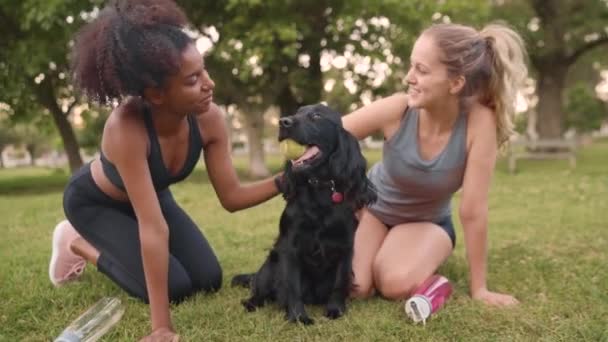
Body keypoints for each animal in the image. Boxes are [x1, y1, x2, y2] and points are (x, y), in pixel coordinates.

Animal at [232, 103, 376, 324]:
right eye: (296, 112)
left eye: (316, 115)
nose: (283, 121)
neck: (320, 189)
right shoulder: (290, 246)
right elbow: (292, 285)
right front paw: (298, 316)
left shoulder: (345, 246)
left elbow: (339, 282)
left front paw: (335, 309)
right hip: (270, 265)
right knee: (259, 290)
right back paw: (251, 303)